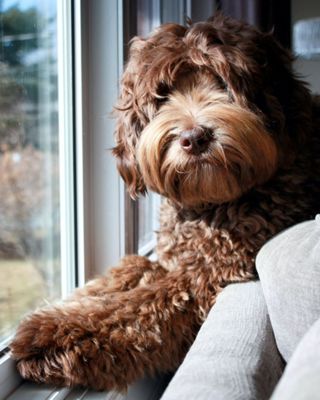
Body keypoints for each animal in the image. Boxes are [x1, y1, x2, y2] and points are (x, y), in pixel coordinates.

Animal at [10, 14, 320, 390]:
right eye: (163, 94)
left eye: (224, 82)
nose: (194, 137)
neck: (209, 205)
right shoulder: (175, 258)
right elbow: (133, 267)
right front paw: (78, 297)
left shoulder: (207, 278)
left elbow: (143, 304)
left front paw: (55, 333)